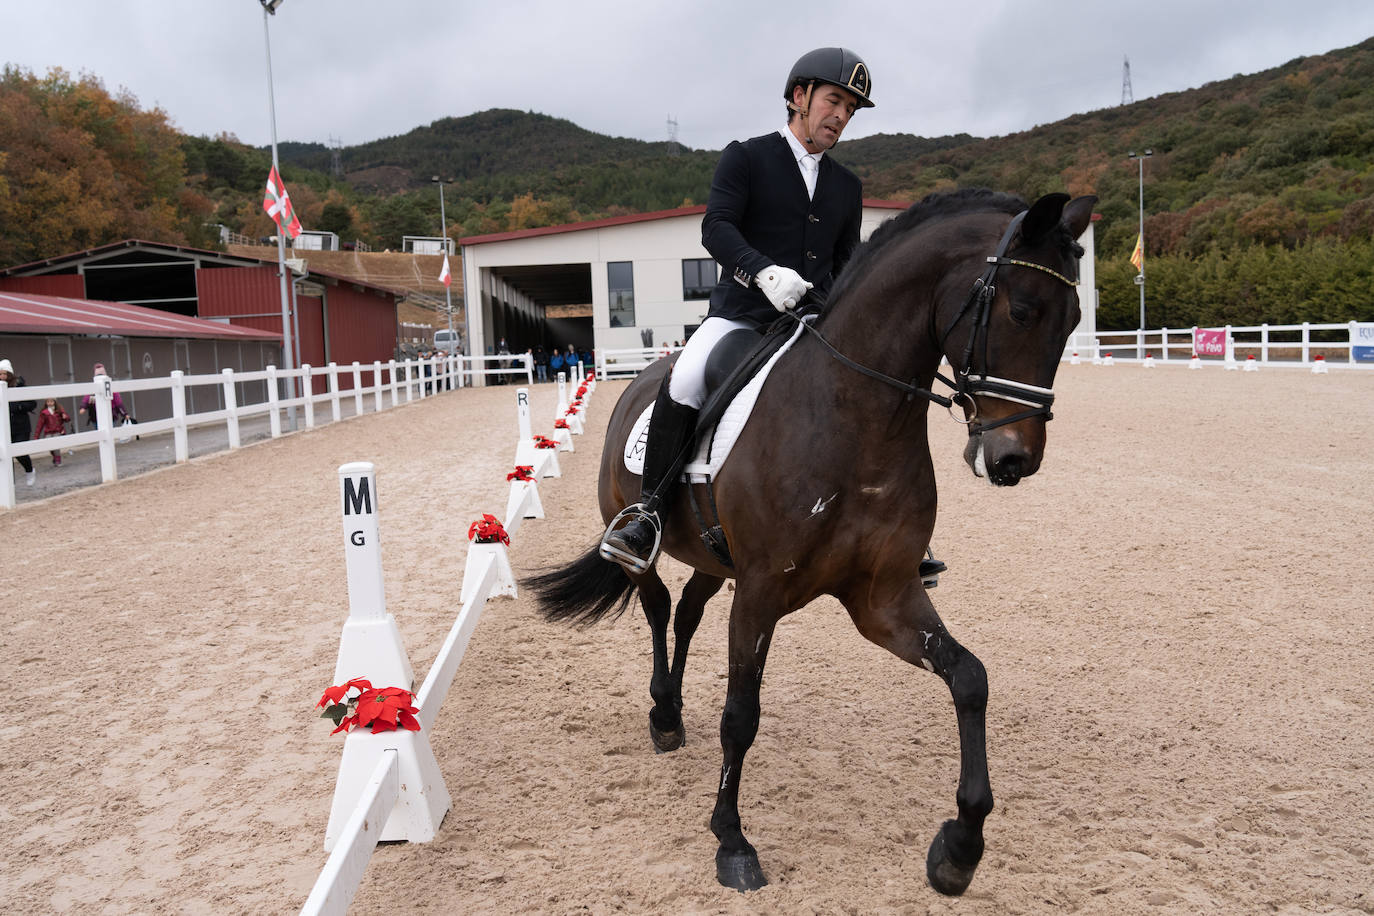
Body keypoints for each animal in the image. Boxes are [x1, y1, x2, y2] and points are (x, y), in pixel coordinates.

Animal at [524, 186, 1093, 895]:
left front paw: (960, 848)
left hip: (715, 561)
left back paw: (674, 710)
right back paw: (662, 715)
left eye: (1074, 320)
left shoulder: (883, 597)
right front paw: (732, 841)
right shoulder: (762, 591)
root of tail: (640, 379)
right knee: (657, 607)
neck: (856, 417)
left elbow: (969, 678)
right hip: (642, 543)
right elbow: (741, 714)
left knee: (687, 613)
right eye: (1021, 310)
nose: (1014, 460)